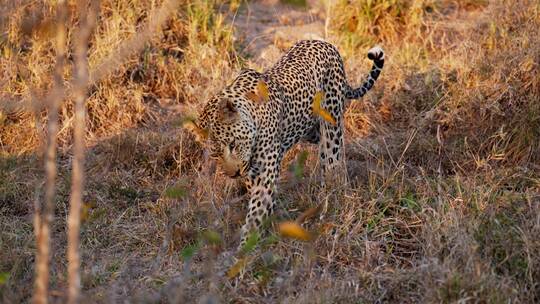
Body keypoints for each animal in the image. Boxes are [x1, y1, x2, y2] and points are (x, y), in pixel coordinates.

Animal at [187, 39, 384, 248]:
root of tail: (325, 43)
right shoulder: (252, 174)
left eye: (232, 144)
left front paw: (245, 249)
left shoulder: (264, 175)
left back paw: (332, 206)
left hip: (332, 126)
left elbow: (256, 213)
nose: (234, 174)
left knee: (332, 162)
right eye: (215, 155)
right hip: (310, 131)